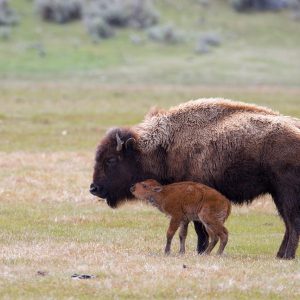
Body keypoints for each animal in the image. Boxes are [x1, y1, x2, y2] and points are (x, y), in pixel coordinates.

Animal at [89, 98, 300, 258]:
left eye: (111, 160)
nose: (94, 188)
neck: (163, 147)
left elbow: (200, 229)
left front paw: (199, 251)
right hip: (277, 195)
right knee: (288, 224)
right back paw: (279, 255)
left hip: (285, 193)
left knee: (292, 222)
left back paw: (287, 256)